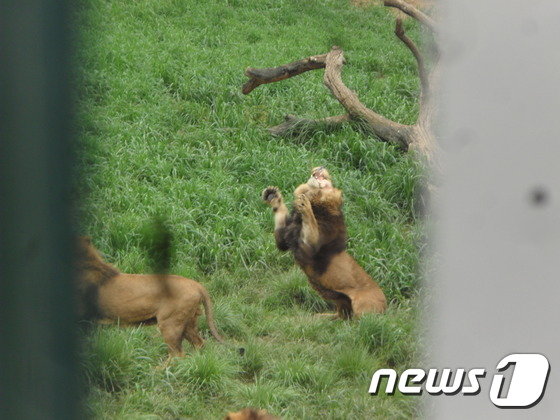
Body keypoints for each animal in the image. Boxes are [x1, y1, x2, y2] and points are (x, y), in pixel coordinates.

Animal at [262, 167, 384, 318]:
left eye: (327, 177)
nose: (321, 167)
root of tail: (386, 307)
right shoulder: (284, 240)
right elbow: (280, 214)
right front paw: (273, 196)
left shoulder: (309, 250)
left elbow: (311, 223)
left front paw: (305, 205)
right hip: (338, 297)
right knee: (343, 316)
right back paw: (324, 317)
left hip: (361, 304)